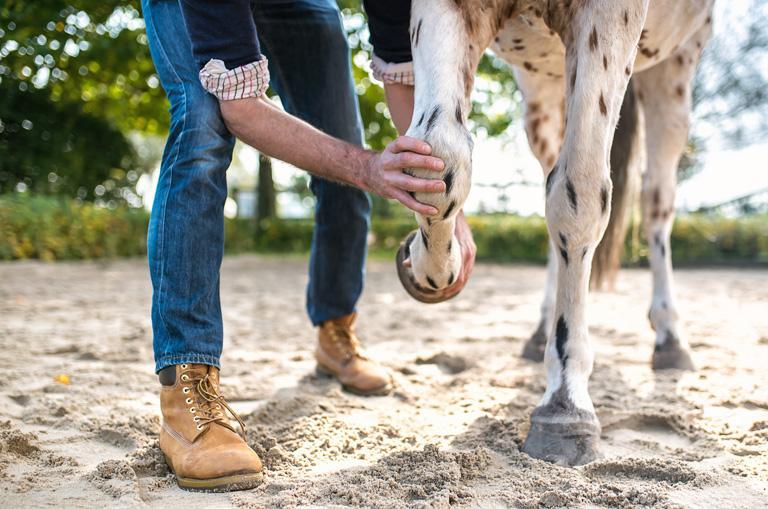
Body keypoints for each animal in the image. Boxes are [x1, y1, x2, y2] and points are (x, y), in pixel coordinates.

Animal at [396, 0, 712, 464]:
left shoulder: (610, 17)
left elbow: (578, 195)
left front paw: (565, 403)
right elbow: (439, 157)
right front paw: (430, 266)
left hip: (674, 66)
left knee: (657, 200)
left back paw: (670, 338)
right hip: (543, 87)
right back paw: (540, 329)